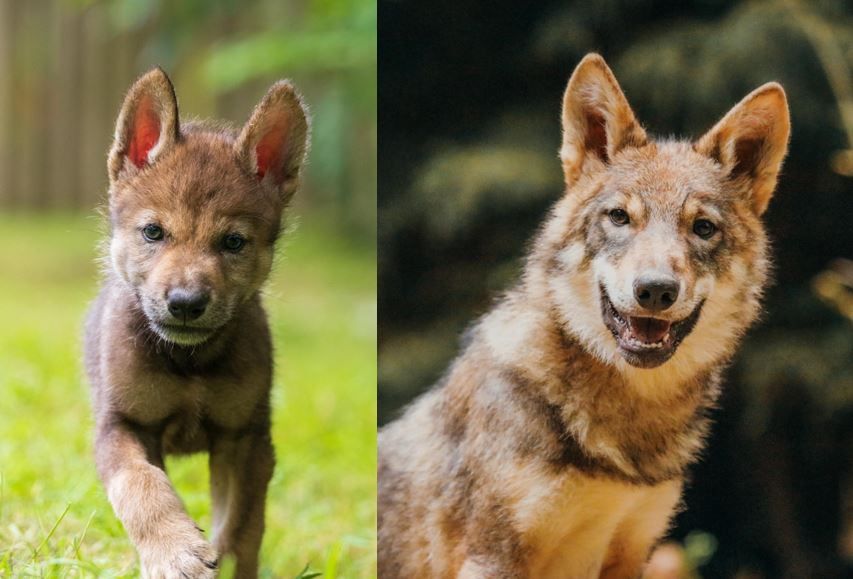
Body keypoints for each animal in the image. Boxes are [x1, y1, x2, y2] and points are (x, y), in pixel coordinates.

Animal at [84, 68, 309, 578]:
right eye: (153, 232)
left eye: (233, 242)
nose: (186, 303)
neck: (189, 363)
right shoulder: (121, 426)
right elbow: (143, 487)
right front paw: (175, 552)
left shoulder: (245, 440)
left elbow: (241, 530)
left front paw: (219, 562)